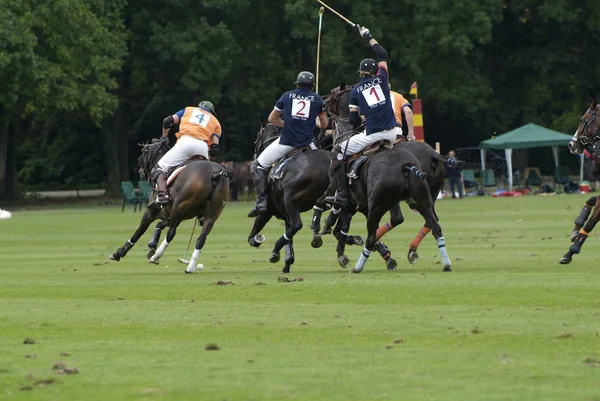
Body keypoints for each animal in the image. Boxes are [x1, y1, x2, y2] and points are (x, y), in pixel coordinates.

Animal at [109, 139, 231, 274]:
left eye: (144, 152)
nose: (139, 169)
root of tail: (215, 174)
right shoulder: (173, 215)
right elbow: (160, 224)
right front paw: (152, 245)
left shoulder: (153, 211)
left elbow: (139, 231)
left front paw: (119, 253)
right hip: (211, 214)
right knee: (201, 238)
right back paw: (190, 267)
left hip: (179, 206)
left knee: (171, 233)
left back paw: (156, 257)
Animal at [312, 82, 448, 268]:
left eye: (332, 96)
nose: (318, 137)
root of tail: (434, 154)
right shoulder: (355, 204)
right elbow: (340, 224)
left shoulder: (335, 188)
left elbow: (324, 205)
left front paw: (321, 230)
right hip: (426, 194)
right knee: (430, 220)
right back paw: (413, 251)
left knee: (397, 218)